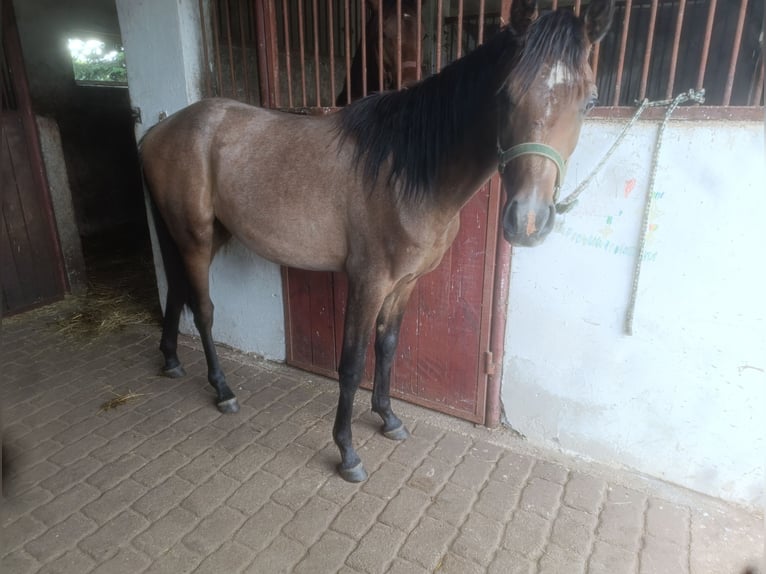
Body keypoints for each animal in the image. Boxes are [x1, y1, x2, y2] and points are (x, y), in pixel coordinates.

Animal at [140, 0, 616, 484]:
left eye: (590, 101)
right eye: (506, 96)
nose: (528, 221)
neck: (406, 170)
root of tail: (159, 130)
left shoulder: (405, 282)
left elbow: (387, 348)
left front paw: (388, 418)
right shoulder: (368, 282)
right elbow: (351, 364)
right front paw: (347, 451)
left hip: (197, 236)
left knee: (176, 290)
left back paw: (171, 360)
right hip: (195, 239)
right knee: (203, 309)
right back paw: (222, 390)